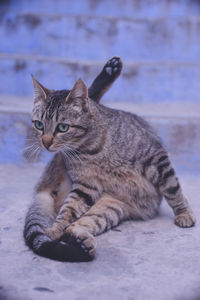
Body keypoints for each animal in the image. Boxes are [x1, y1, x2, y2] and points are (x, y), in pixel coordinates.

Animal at [23, 57, 195, 262]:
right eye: (39, 125)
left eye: (63, 127)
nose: (46, 142)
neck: (90, 149)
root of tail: (42, 186)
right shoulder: (85, 186)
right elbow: (67, 211)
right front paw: (54, 229)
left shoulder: (155, 156)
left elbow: (172, 189)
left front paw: (184, 213)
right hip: (108, 206)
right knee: (72, 223)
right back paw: (81, 242)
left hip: (110, 206)